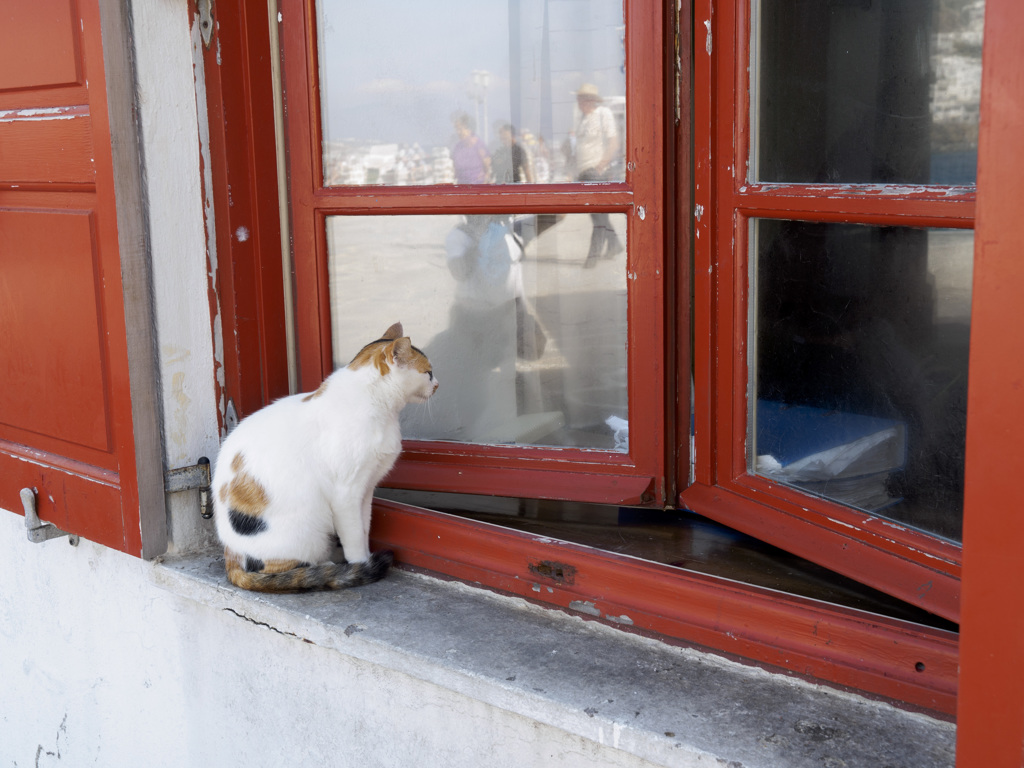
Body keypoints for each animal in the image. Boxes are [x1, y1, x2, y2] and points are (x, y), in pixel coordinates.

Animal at [214, 321, 438, 593]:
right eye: (428, 373)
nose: (438, 384)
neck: (379, 407)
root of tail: (230, 554)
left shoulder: (366, 489)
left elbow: (363, 527)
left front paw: (362, 557)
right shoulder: (345, 493)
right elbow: (353, 534)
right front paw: (361, 563)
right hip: (307, 530)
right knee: (279, 570)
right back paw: (327, 567)